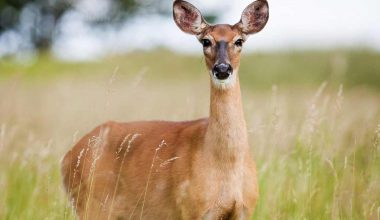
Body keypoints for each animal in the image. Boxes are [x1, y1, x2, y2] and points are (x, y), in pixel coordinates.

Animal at [60, 0, 268, 219]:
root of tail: (66, 158)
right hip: (91, 204)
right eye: (205, 41)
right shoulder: (191, 209)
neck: (226, 165)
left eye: (239, 41)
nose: (222, 69)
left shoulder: (245, 209)